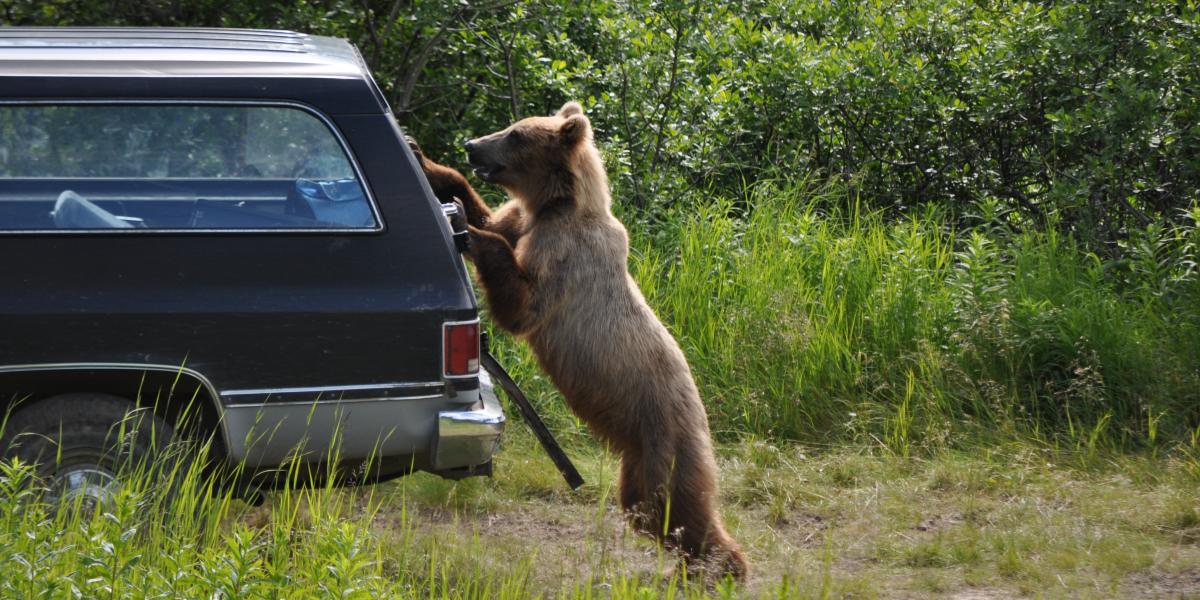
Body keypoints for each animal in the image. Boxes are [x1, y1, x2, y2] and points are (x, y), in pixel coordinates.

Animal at [412, 103, 748, 580]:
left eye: (516, 135)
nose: (473, 144)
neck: (557, 206)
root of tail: (704, 420)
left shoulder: (565, 257)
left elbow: (523, 303)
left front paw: (462, 224)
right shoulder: (525, 222)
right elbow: (493, 215)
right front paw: (430, 164)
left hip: (665, 438)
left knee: (675, 508)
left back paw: (726, 567)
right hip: (639, 458)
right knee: (647, 511)